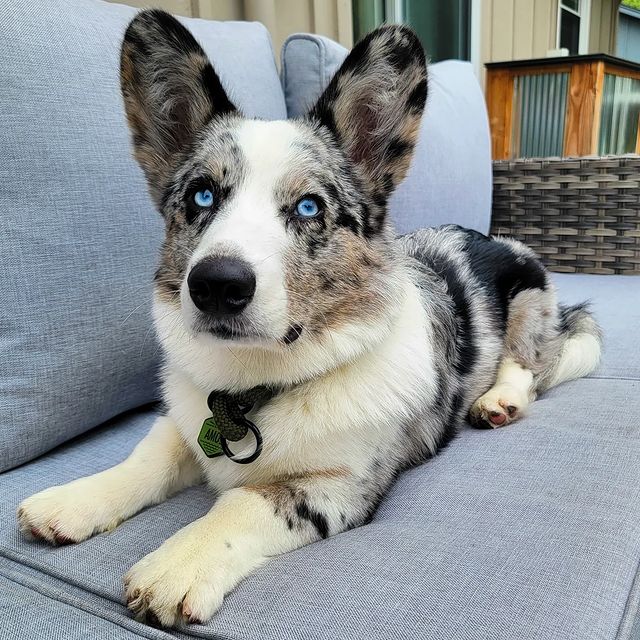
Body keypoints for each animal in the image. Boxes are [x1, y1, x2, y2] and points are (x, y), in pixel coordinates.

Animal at [16, 10, 604, 628]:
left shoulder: (335, 491)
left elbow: (242, 504)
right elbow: (146, 458)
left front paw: (176, 566)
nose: (215, 285)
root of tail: (490, 239)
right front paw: (72, 501)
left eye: (307, 207)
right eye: (202, 196)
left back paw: (499, 400)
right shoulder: (182, 423)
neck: (255, 388)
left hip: (528, 298)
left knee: (530, 362)